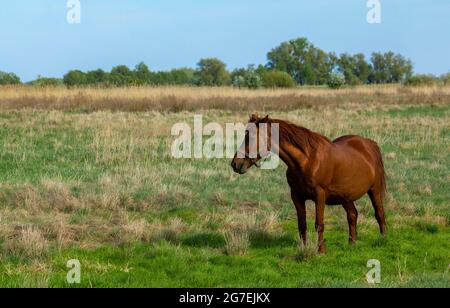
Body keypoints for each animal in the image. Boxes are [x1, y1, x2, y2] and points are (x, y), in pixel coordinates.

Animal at [232, 114, 386, 254]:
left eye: (251, 137)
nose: (235, 164)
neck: (306, 161)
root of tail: (369, 144)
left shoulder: (319, 196)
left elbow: (319, 224)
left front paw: (321, 250)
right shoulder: (297, 197)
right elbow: (302, 224)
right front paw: (304, 249)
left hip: (374, 190)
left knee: (379, 213)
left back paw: (383, 239)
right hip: (345, 196)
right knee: (352, 215)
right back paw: (352, 243)